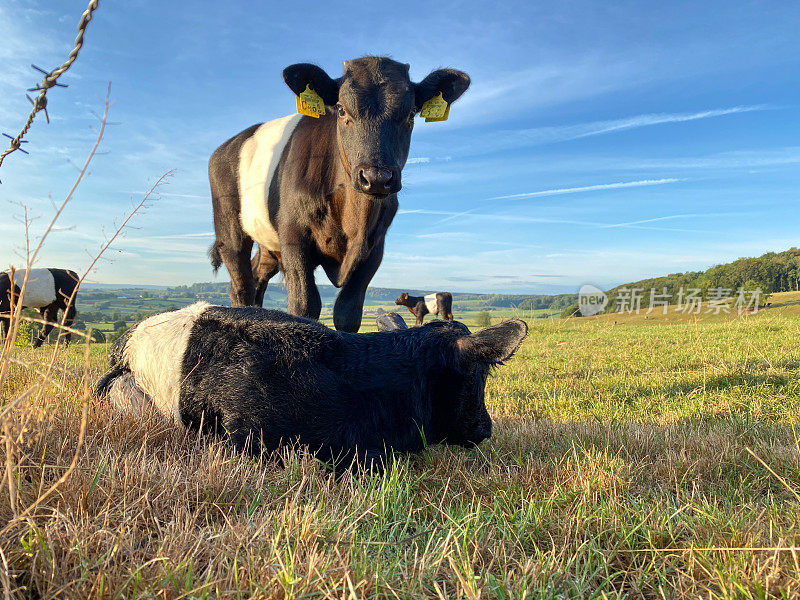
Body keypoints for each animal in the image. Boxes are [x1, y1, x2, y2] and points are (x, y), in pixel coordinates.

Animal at [208, 56, 468, 332]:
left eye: (411, 114)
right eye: (342, 110)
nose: (376, 177)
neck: (353, 218)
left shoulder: (375, 245)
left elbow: (347, 313)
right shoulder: (293, 235)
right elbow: (305, 305)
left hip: (268, 246)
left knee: (257, 276)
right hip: (229, 231)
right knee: (241, 284)